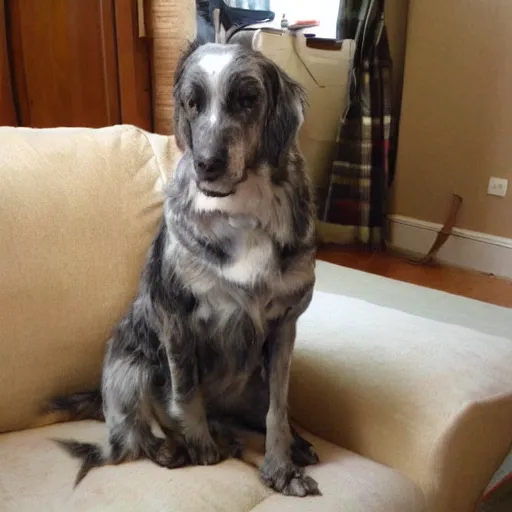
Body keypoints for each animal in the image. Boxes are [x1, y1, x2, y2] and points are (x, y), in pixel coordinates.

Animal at [49, 42, 320, 498]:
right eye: (193, 103)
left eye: (247, 99)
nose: (206, 163)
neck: (241, 210)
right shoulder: (174, 312)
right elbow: (185, 390)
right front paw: (200, 446)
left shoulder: (285, 324)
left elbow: (278, 411)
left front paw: (282, 466)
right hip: (131, 368)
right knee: (127, 439)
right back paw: (176, 447)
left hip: (250, 383)